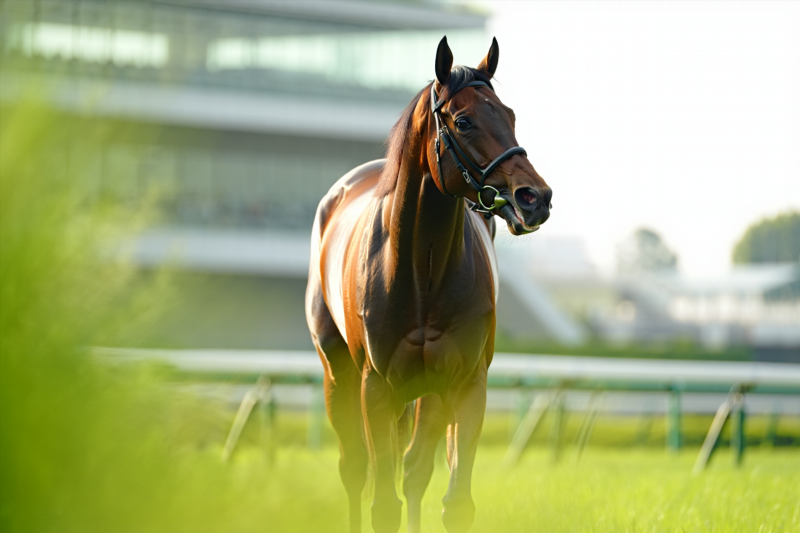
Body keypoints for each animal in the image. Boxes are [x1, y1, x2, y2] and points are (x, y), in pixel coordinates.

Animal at [305, 36, 552, 533]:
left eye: (510, 114)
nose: (535, 198)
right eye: (464, 120)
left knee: (414, 470)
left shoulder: (464, 384)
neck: (421, 273)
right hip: (337, 374)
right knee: (355, 469)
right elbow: (383, 504)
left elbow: (453, 500)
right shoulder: (376, 389)